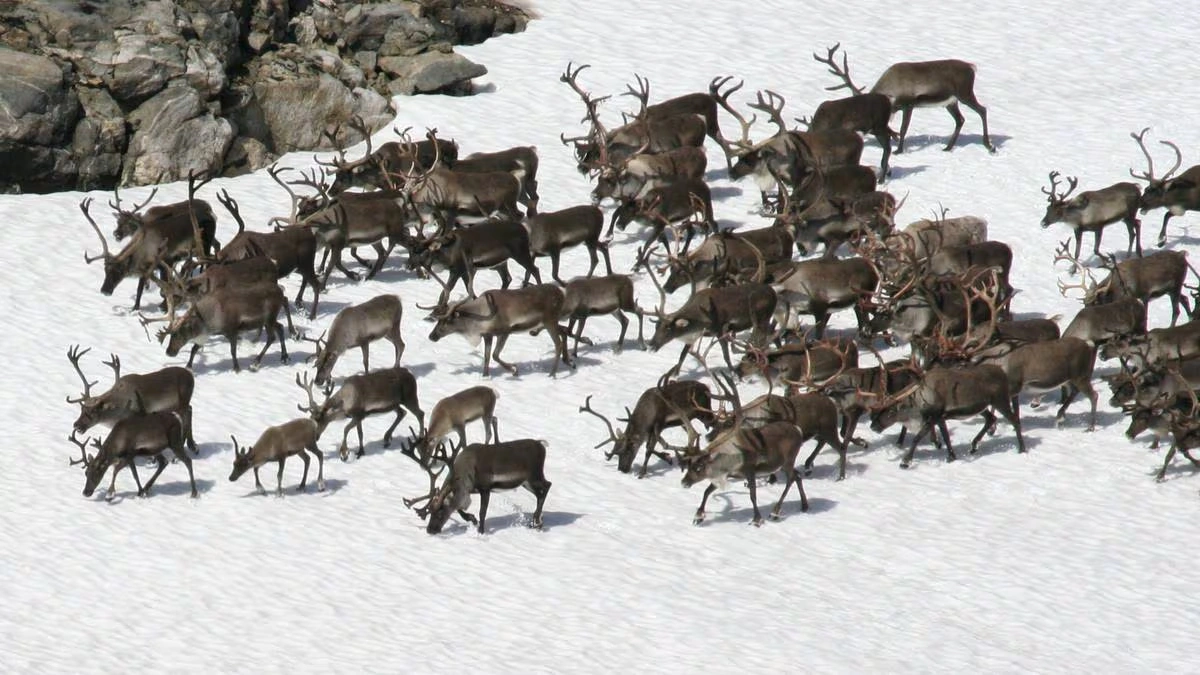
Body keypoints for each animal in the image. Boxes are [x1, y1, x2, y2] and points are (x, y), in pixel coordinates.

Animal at [66, 346, 199, 455]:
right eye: (81, 409)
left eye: (93, 412)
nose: (76, 425)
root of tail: (190, 374)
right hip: (175, 405)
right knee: (191, 409)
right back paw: (192, 446)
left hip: (183, 400)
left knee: (187, 413)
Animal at [69, 413, 198, 500]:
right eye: (86, 473)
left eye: (97, 473)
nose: (86, 492)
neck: (118, 443)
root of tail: (177, 417)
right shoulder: (130, 457)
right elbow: (134, 474)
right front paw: (140, 492)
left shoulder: (130, 453)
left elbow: (116, 470)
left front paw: (110, 494)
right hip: (156, 450)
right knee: (164, 462)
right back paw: (146, 488)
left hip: (174, 442)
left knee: (188, 461)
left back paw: (194, 493)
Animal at [414, 438, 552, 535]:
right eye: (430, 511)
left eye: (440, 512)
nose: (430, 530)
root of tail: (542, 445)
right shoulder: (470, 491)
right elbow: (460, 508)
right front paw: (472, 519)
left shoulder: (485, 488)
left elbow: (482, 512)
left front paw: (481, 531)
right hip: (525, 483)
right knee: (540, 493)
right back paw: (537, 522)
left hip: (534, 476)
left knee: (547, 485)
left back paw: (536, 522)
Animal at [425, 285, 571, 377]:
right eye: (438, 320)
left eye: (448, 320)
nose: (432, 336)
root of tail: (562, 292)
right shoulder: (487, 335)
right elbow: (487, 357)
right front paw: (485, 376)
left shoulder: (505, 331)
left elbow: (495, 355)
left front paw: (514, 370)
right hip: (549, 323)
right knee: (564, 332)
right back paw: (568, 361)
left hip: (549, 321)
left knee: (558, 343)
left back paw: (552, 374)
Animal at [579, 377, 720, 477]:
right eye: (615, 450)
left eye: (628, 449)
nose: (622, 469)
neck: (646, 414)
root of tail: (707, 388)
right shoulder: (652, 430)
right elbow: (653, 446)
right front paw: (667, 457)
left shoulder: (659, 424)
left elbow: (649, 449)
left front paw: (642, 473)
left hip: (703, 413)